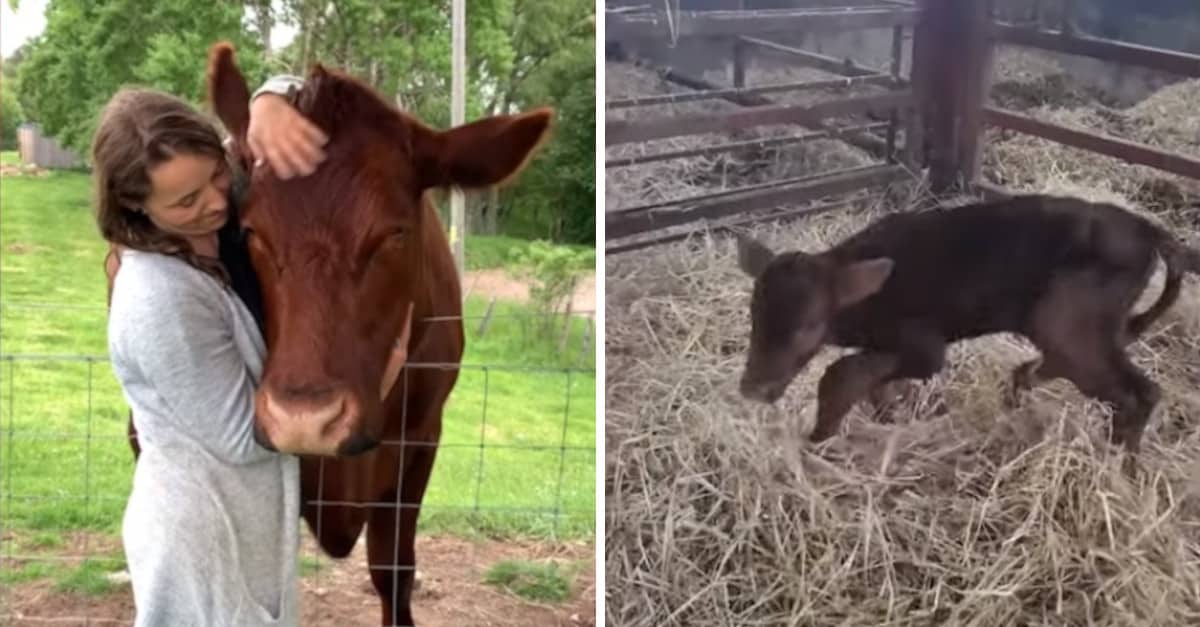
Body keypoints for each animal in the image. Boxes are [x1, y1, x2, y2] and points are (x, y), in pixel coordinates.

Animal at [734, 192, 1200, 451]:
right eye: (754, 315)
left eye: (807, 327)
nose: (753, 388)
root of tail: (1149, 231)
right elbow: (874, 384)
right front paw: (888, 416)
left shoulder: (925, 345)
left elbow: (843, 374)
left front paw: (822, 433)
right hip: (1077, 328)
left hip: (1069, 321)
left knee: (1139, 392)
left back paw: (1120, 464)